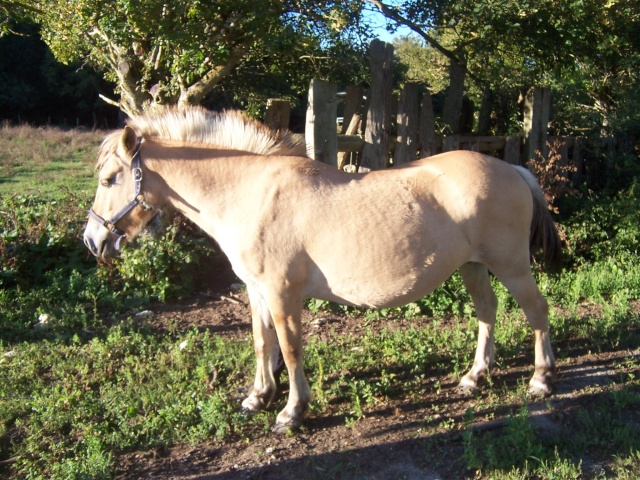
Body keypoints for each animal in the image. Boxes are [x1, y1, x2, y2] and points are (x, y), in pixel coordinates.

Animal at [84, 107, 560, 434]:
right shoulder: (256, 291)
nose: (93, 240)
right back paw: (474, 377)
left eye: (109, 179)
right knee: (487, 311)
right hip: (473, 267)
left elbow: (290, 349)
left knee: (536, 311)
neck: (249, 194)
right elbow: (262, 343)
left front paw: (291, 412)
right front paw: (258, 396)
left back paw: (540, 380)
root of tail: (514, 168)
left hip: (510, 265)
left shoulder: (282, 293)